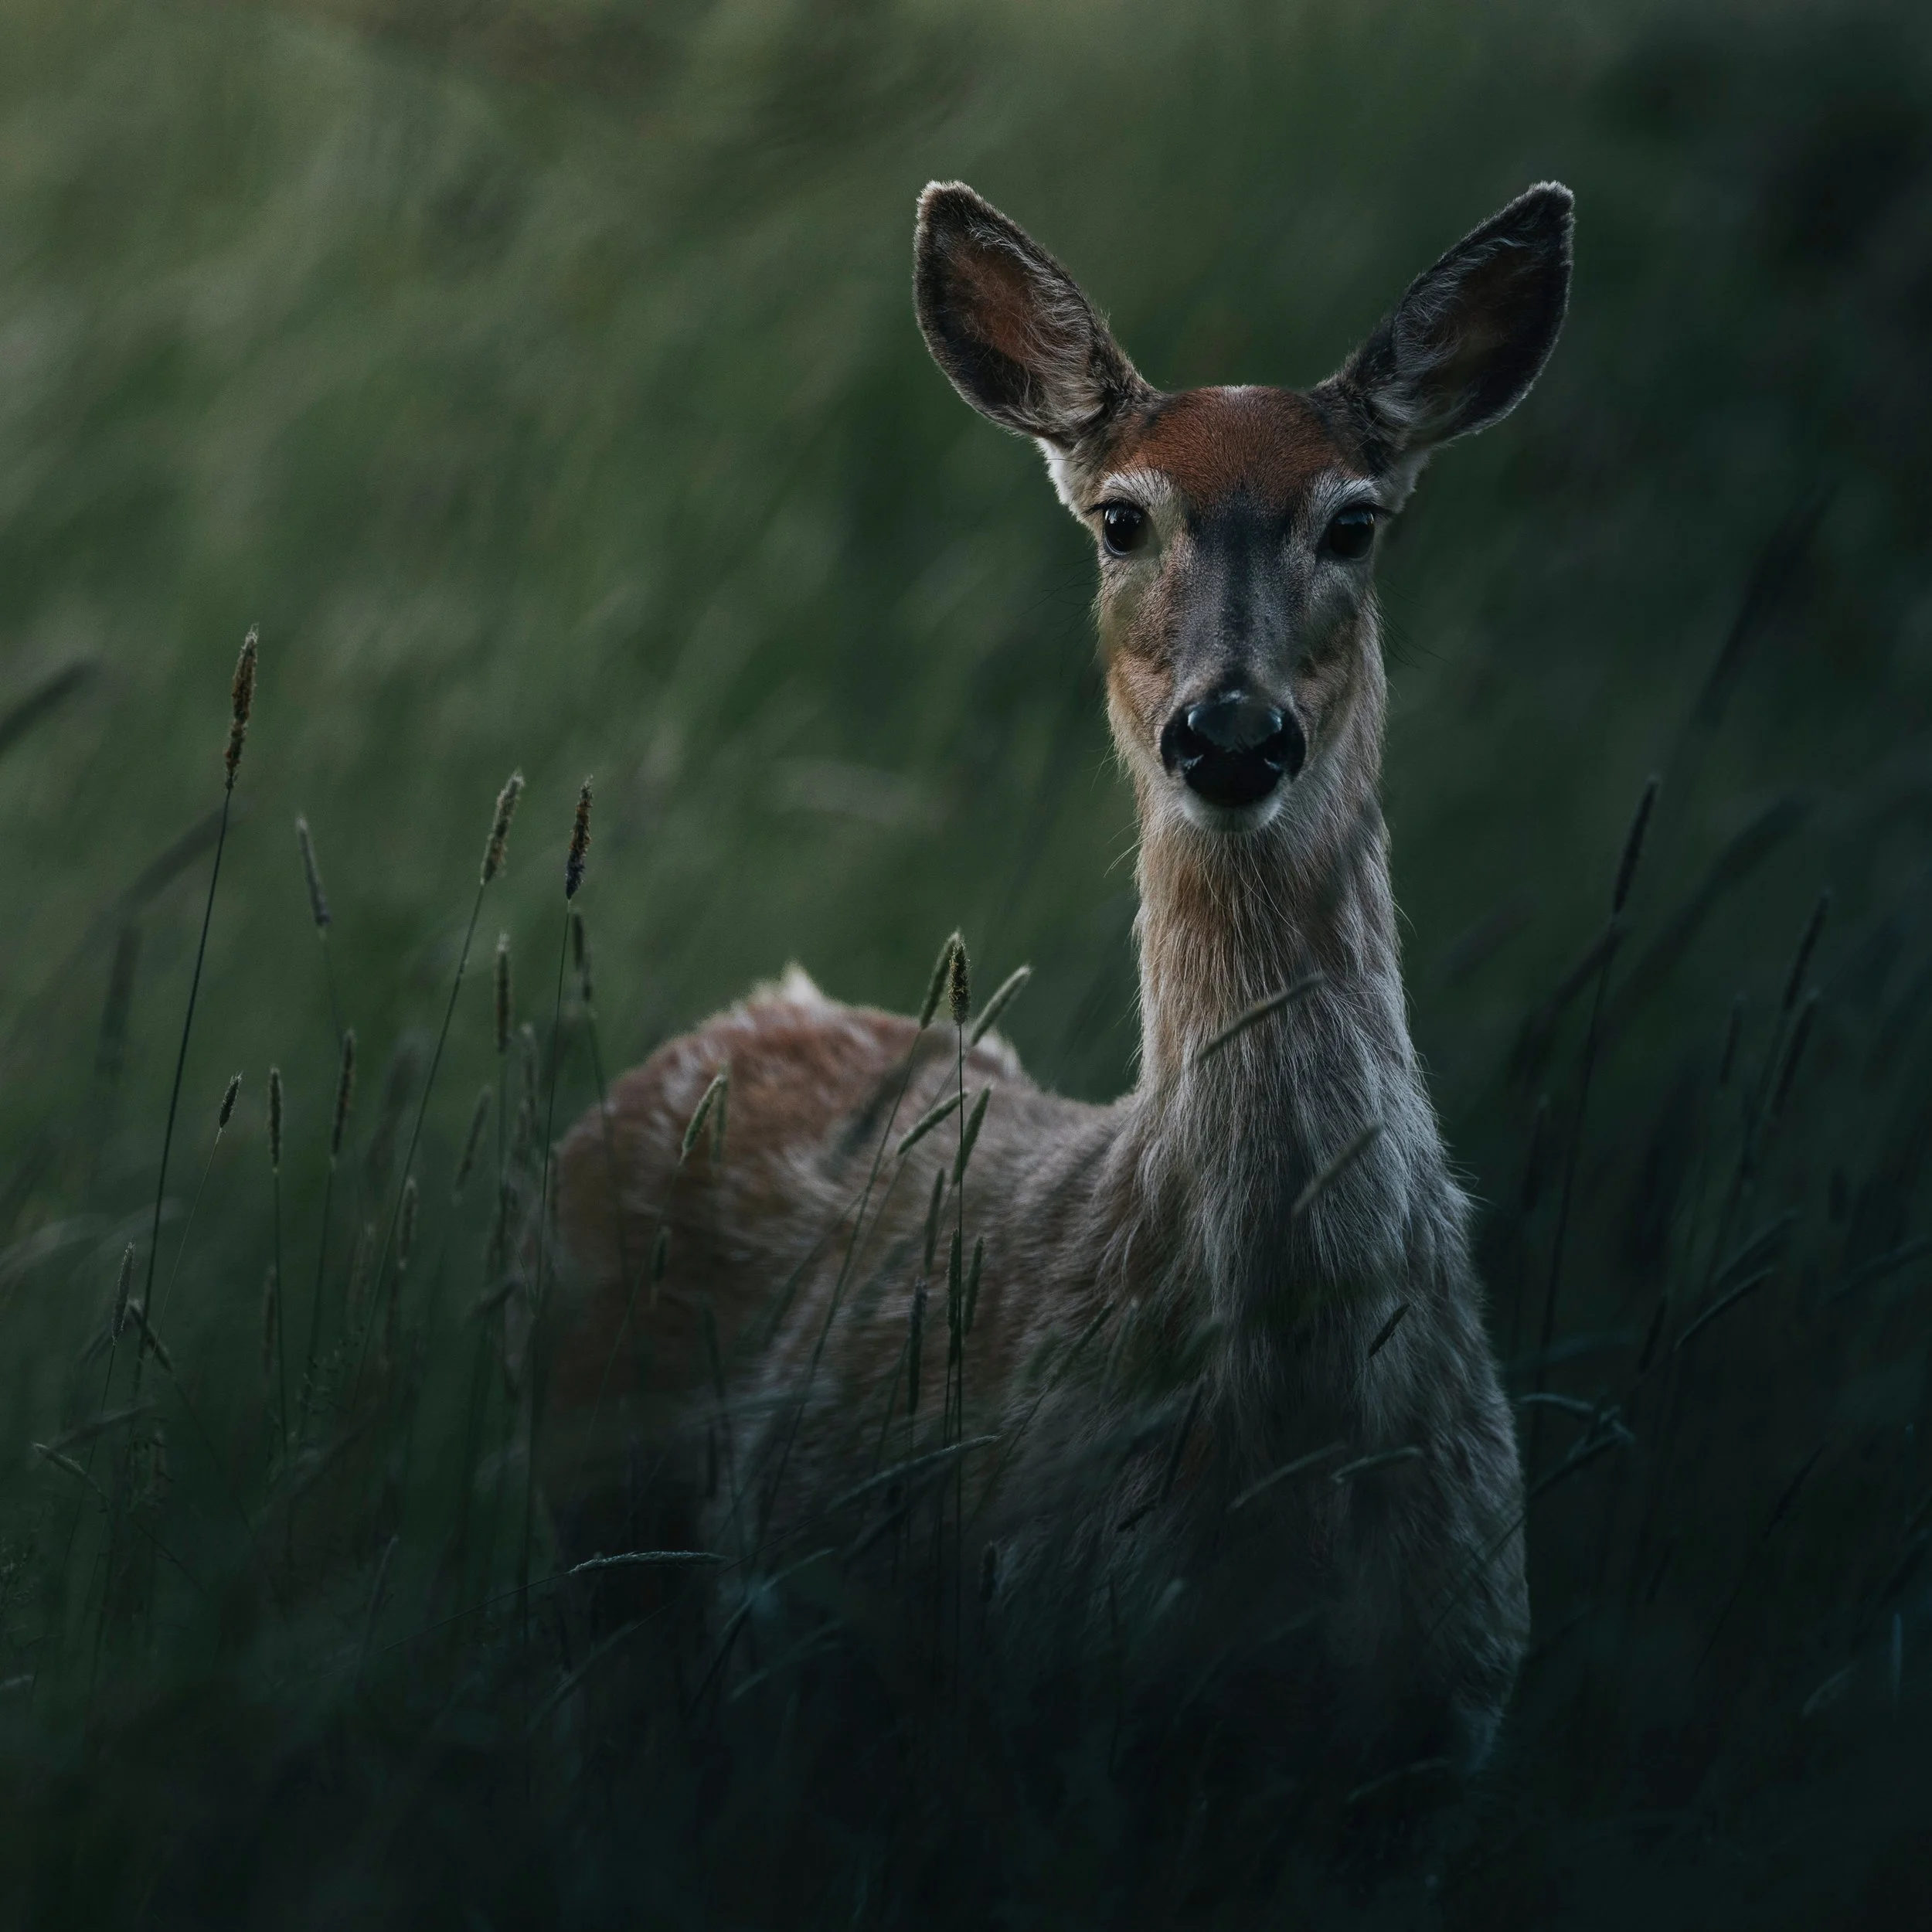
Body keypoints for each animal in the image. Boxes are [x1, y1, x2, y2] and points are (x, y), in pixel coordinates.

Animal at [546, 178, 1573, 1792]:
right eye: (1121, 517)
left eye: (1354, 520)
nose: (1232, 734)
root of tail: (741, 1017)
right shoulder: (1061, 1687)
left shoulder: (1450, 1707)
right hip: (592, 1552)